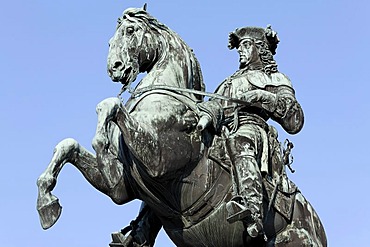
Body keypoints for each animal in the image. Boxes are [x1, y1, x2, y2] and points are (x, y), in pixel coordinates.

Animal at [37, 6, 326, 247]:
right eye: (111, 39)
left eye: (130, 30)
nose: (115, 68)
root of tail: (316, 227)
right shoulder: (121, 187)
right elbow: (68, 144)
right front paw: (46, 203)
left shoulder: (158, 158)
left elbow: (110, 106)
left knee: (243, 144)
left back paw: (250, 215)